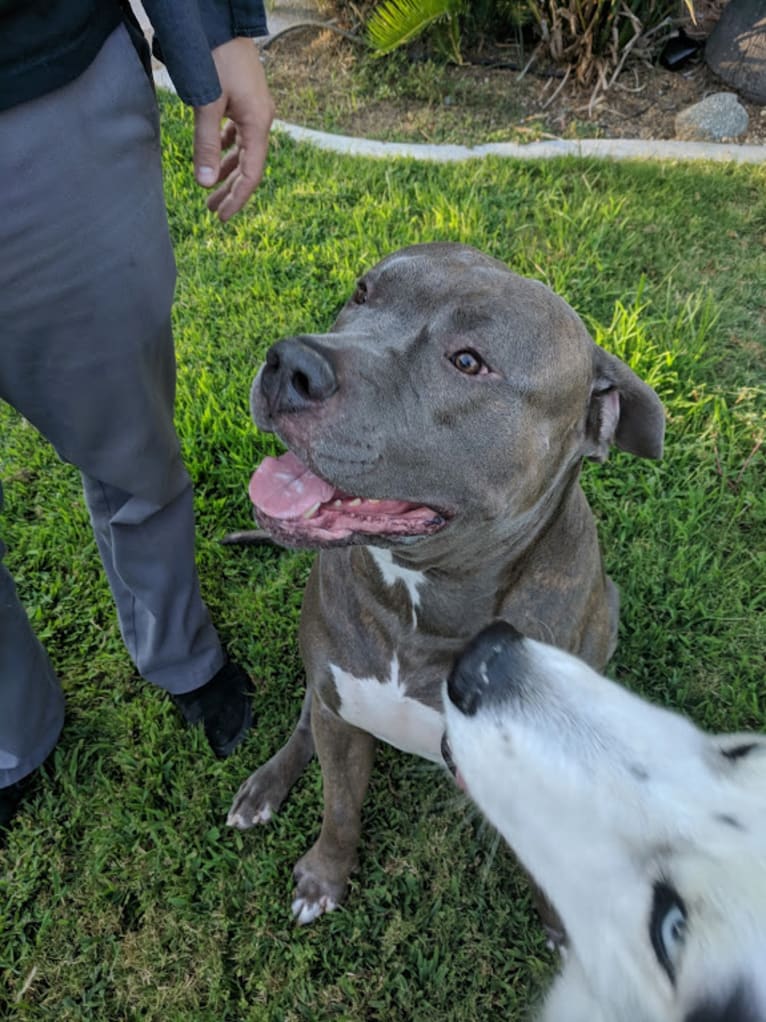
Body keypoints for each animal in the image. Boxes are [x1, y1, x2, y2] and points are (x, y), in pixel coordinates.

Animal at [227, 241, 665, 927]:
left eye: (468, 361)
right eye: (361, 292)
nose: (290, 361)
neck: (420, 607)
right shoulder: (341, 714)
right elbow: (340, 807)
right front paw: (325, 875)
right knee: (305, 718)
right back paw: (265, 786)